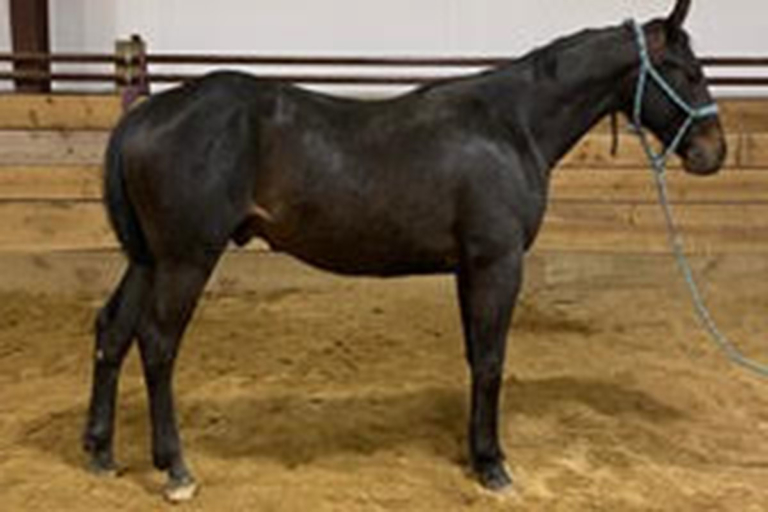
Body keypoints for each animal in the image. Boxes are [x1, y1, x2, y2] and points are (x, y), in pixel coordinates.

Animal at [83, 0, 726, 501]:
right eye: (688, 71)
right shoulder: (498, 264)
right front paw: (493, 465)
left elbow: (476, 357)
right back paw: (175, 468)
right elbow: (492, 361)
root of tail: (143, 116)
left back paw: (99, 451)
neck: (511, 125)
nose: (712, 152)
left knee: (113, 330)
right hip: (186, 259)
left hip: (149, 259)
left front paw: (476, 453)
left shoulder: (470, 268)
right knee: (157, 344)